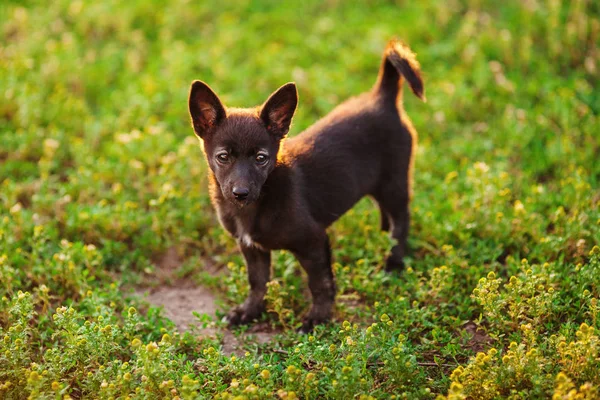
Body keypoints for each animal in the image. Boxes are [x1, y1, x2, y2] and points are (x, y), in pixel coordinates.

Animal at [190, 39, 424, 332]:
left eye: (261, 158)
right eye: (223, 157)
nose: (240, 193)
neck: (260, 202)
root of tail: (383, 97)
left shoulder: (313, 241)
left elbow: (320, 284)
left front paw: (317, 318)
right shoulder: (251, 248)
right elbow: (257, 282)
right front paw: (249, 311)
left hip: (394, 182)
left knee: (401, 220)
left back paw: (394, 262)